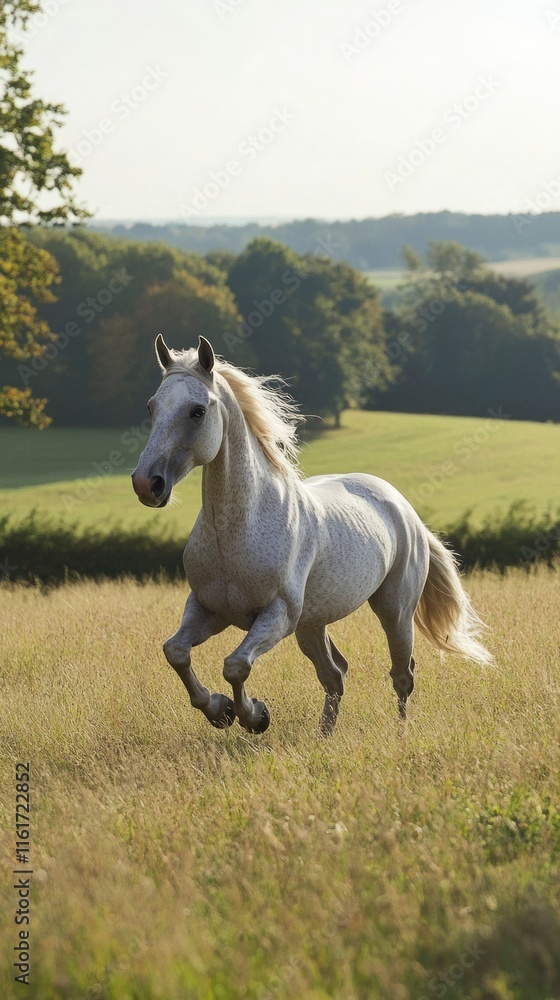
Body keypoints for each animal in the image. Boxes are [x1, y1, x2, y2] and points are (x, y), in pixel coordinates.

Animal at [131, 335, 492, 736]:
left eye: (197, 411)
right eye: (151, 408)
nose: (147, 484)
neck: (236, 531)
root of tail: (405, 509)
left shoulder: (278, 616)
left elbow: (236, 665)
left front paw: (254, 715)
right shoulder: (208, 608)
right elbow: (176, 652)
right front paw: (219, 710)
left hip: (393, 611)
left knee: (402, 674)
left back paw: (400, 734)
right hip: (313, 624)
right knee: (335, 674)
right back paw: (324, 736)